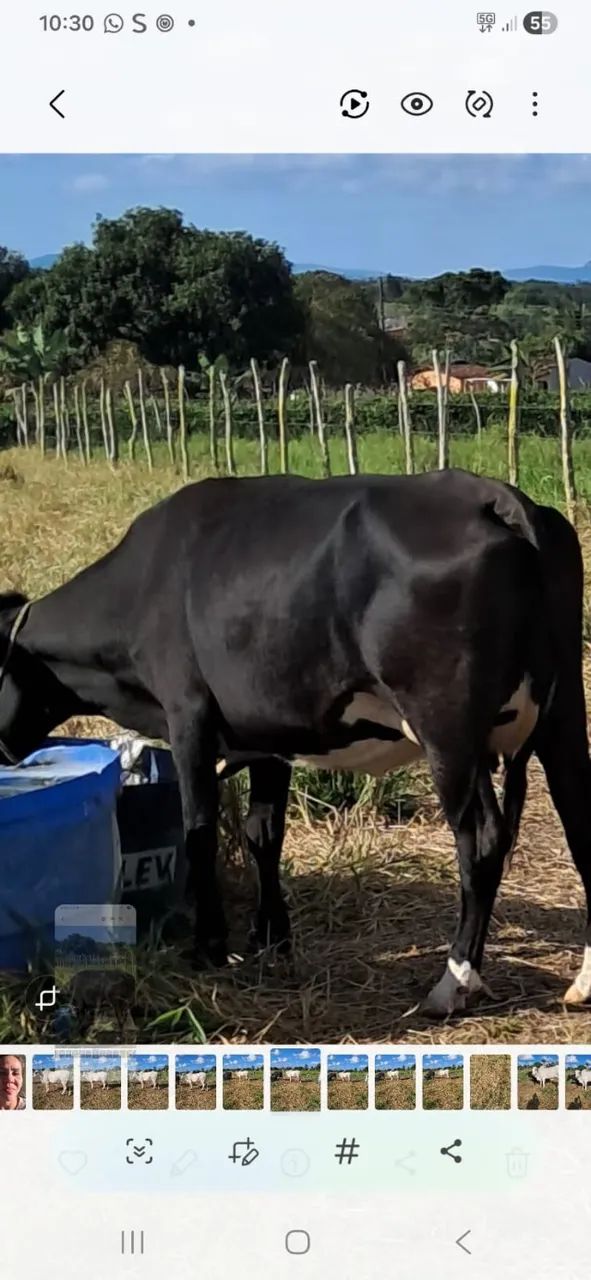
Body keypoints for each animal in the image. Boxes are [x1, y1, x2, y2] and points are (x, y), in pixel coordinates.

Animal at [2, 469, 591, 1017]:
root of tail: (489, 494)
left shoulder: (188, 718)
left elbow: (201, 833)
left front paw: (209, 946)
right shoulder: (269, 733)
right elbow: (263, 833)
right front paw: (272, 937)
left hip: (448, 729)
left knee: (482, 840)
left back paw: (453, 984)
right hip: (562, 716)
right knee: (579, 827)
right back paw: (580, 981)